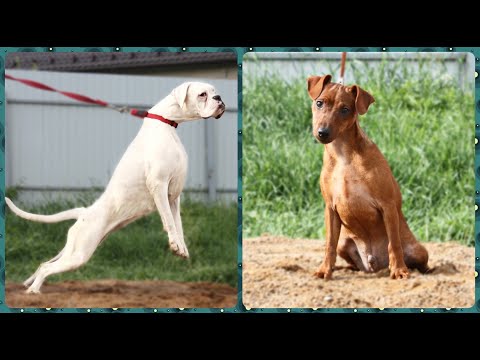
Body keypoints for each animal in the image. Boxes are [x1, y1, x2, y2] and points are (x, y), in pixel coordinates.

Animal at [5, 81, 226, 292]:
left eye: (214, 91)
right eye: (202, 94)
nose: (219, 98)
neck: (166, 123)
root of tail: (84, 212)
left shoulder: (173, 195)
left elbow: (178, 223)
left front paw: (181, 247)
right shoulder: (159, 185)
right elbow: (170, 222)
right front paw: (175, 244)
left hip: (73, 251)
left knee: (44, 264)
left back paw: (29, 286)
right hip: (79, 254)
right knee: (47, 267)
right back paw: (33, 292)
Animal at [310, 74, 430, 280]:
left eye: (345, 109)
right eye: (319, 103)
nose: (322, 133)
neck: (343, 155)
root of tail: (375, 265)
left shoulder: (387, 205)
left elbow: (394, 243)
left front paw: (399, 270)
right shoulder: (330, 208)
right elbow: (329, 244)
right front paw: (325, 270)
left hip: (419, 250)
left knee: (417, 260)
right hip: (345, 243)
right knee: (351, 260)